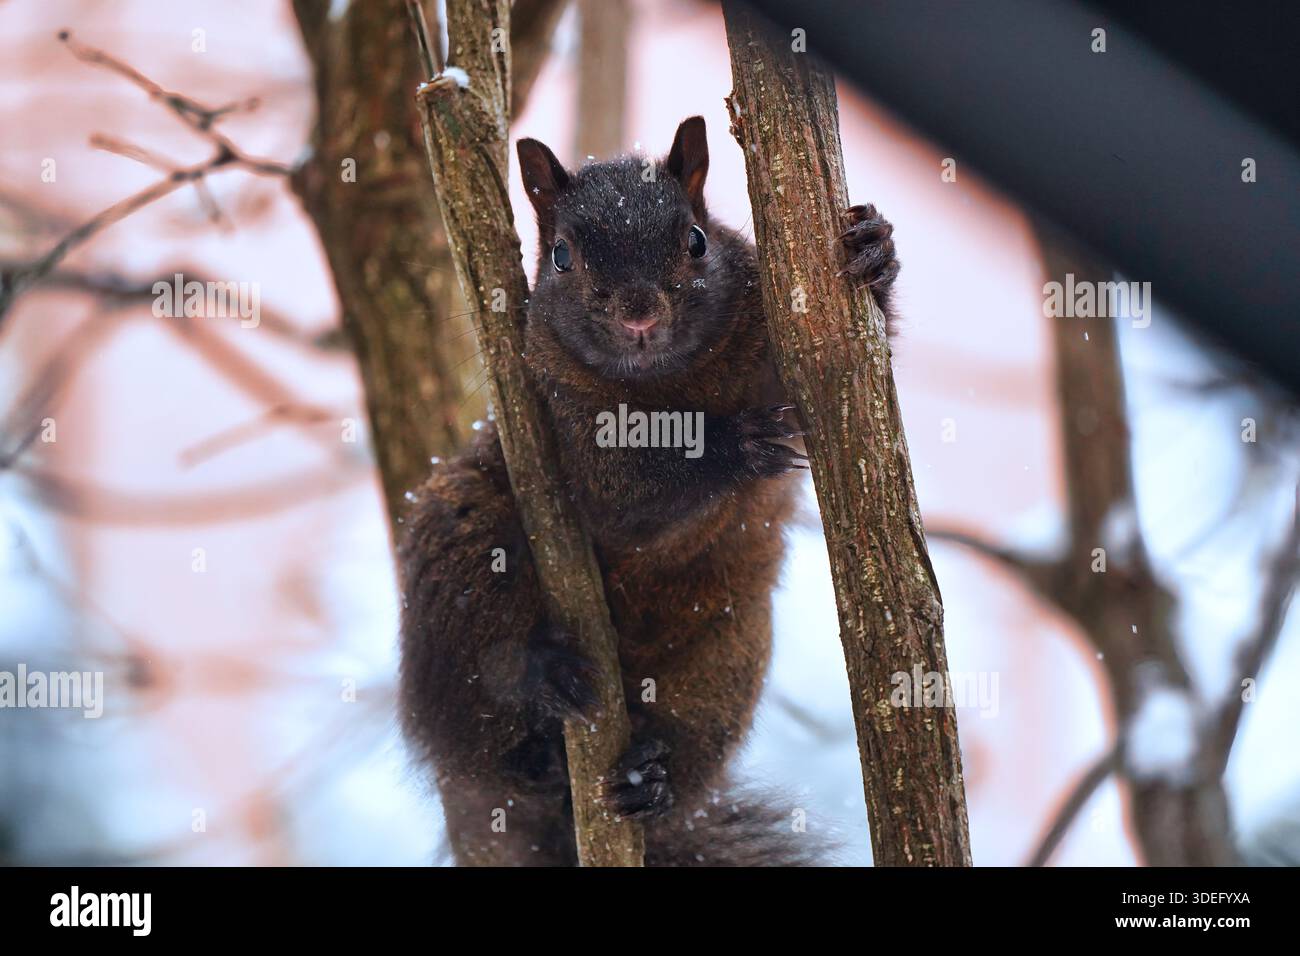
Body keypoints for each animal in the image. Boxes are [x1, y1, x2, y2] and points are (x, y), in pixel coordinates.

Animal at [398, 116, 899, 866]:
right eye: (562, 256)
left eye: (695, 239)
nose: (638, 316)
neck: (670, 384)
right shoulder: (558, 418)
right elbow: (619, 497)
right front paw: (735, 447)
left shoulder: (777, 347)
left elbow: (850, 368)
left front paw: (874, 249)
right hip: (460, 552)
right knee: (486, 728)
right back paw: (541, 686)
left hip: (726, 655)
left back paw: (650, 779)